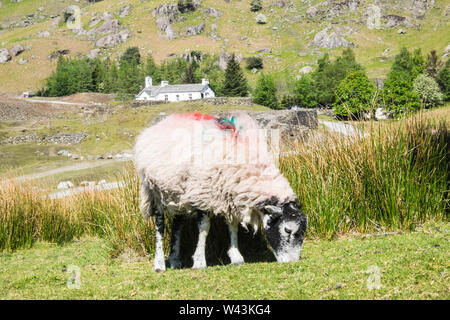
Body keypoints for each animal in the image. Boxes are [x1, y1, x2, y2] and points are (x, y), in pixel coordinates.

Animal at [135, 112, 308, 270]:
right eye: (287, 230)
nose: (292, 261)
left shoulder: (229, 195)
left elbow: (233, 226)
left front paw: (236, 257)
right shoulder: (203, 193)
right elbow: (204, 228)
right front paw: (199, 262)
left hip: (178, 194)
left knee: (177, 225)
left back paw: (175, 260)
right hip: (155, 192)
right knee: (160, 225)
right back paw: (159, 264)